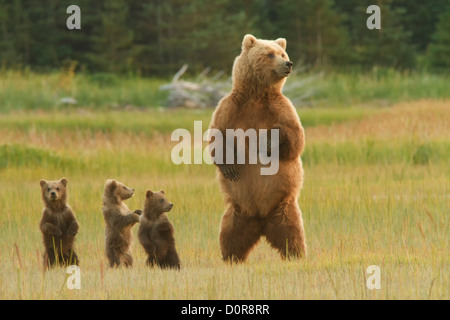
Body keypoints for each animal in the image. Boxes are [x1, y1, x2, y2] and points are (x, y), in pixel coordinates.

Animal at [209, 34, 308, 262]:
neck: (256, 94)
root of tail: (261, 221)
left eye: (283, 54)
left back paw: (296, 255)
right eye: (270, 54)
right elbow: (217, 137)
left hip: (284, 207)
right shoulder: (230, 107)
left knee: (292, 234)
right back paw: (231, 257)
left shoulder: (281, 107)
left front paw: (267, 141)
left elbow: (295, 137)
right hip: (237, 211)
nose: (288, 64)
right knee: (229, 233)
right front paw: (230, 166)